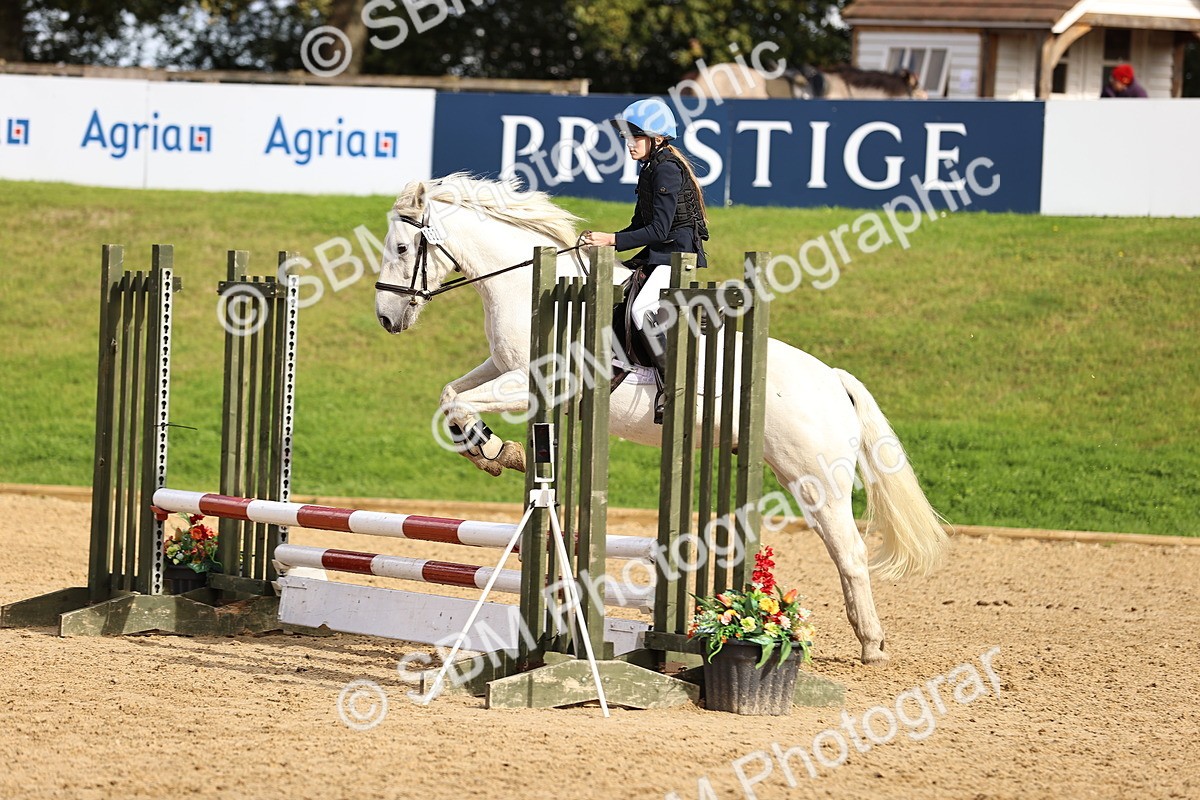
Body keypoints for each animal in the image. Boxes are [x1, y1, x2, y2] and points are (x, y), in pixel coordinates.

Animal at [373, 173, 948, 664]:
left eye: (401, 248)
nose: (387, 319)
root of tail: (833, 380)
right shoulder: (505, 369)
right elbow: (451, 395)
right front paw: (489, 450)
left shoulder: (534, 382)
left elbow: (460, 403)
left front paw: (497, 451)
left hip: (815, 481)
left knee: (849, 551)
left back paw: (871, 644)